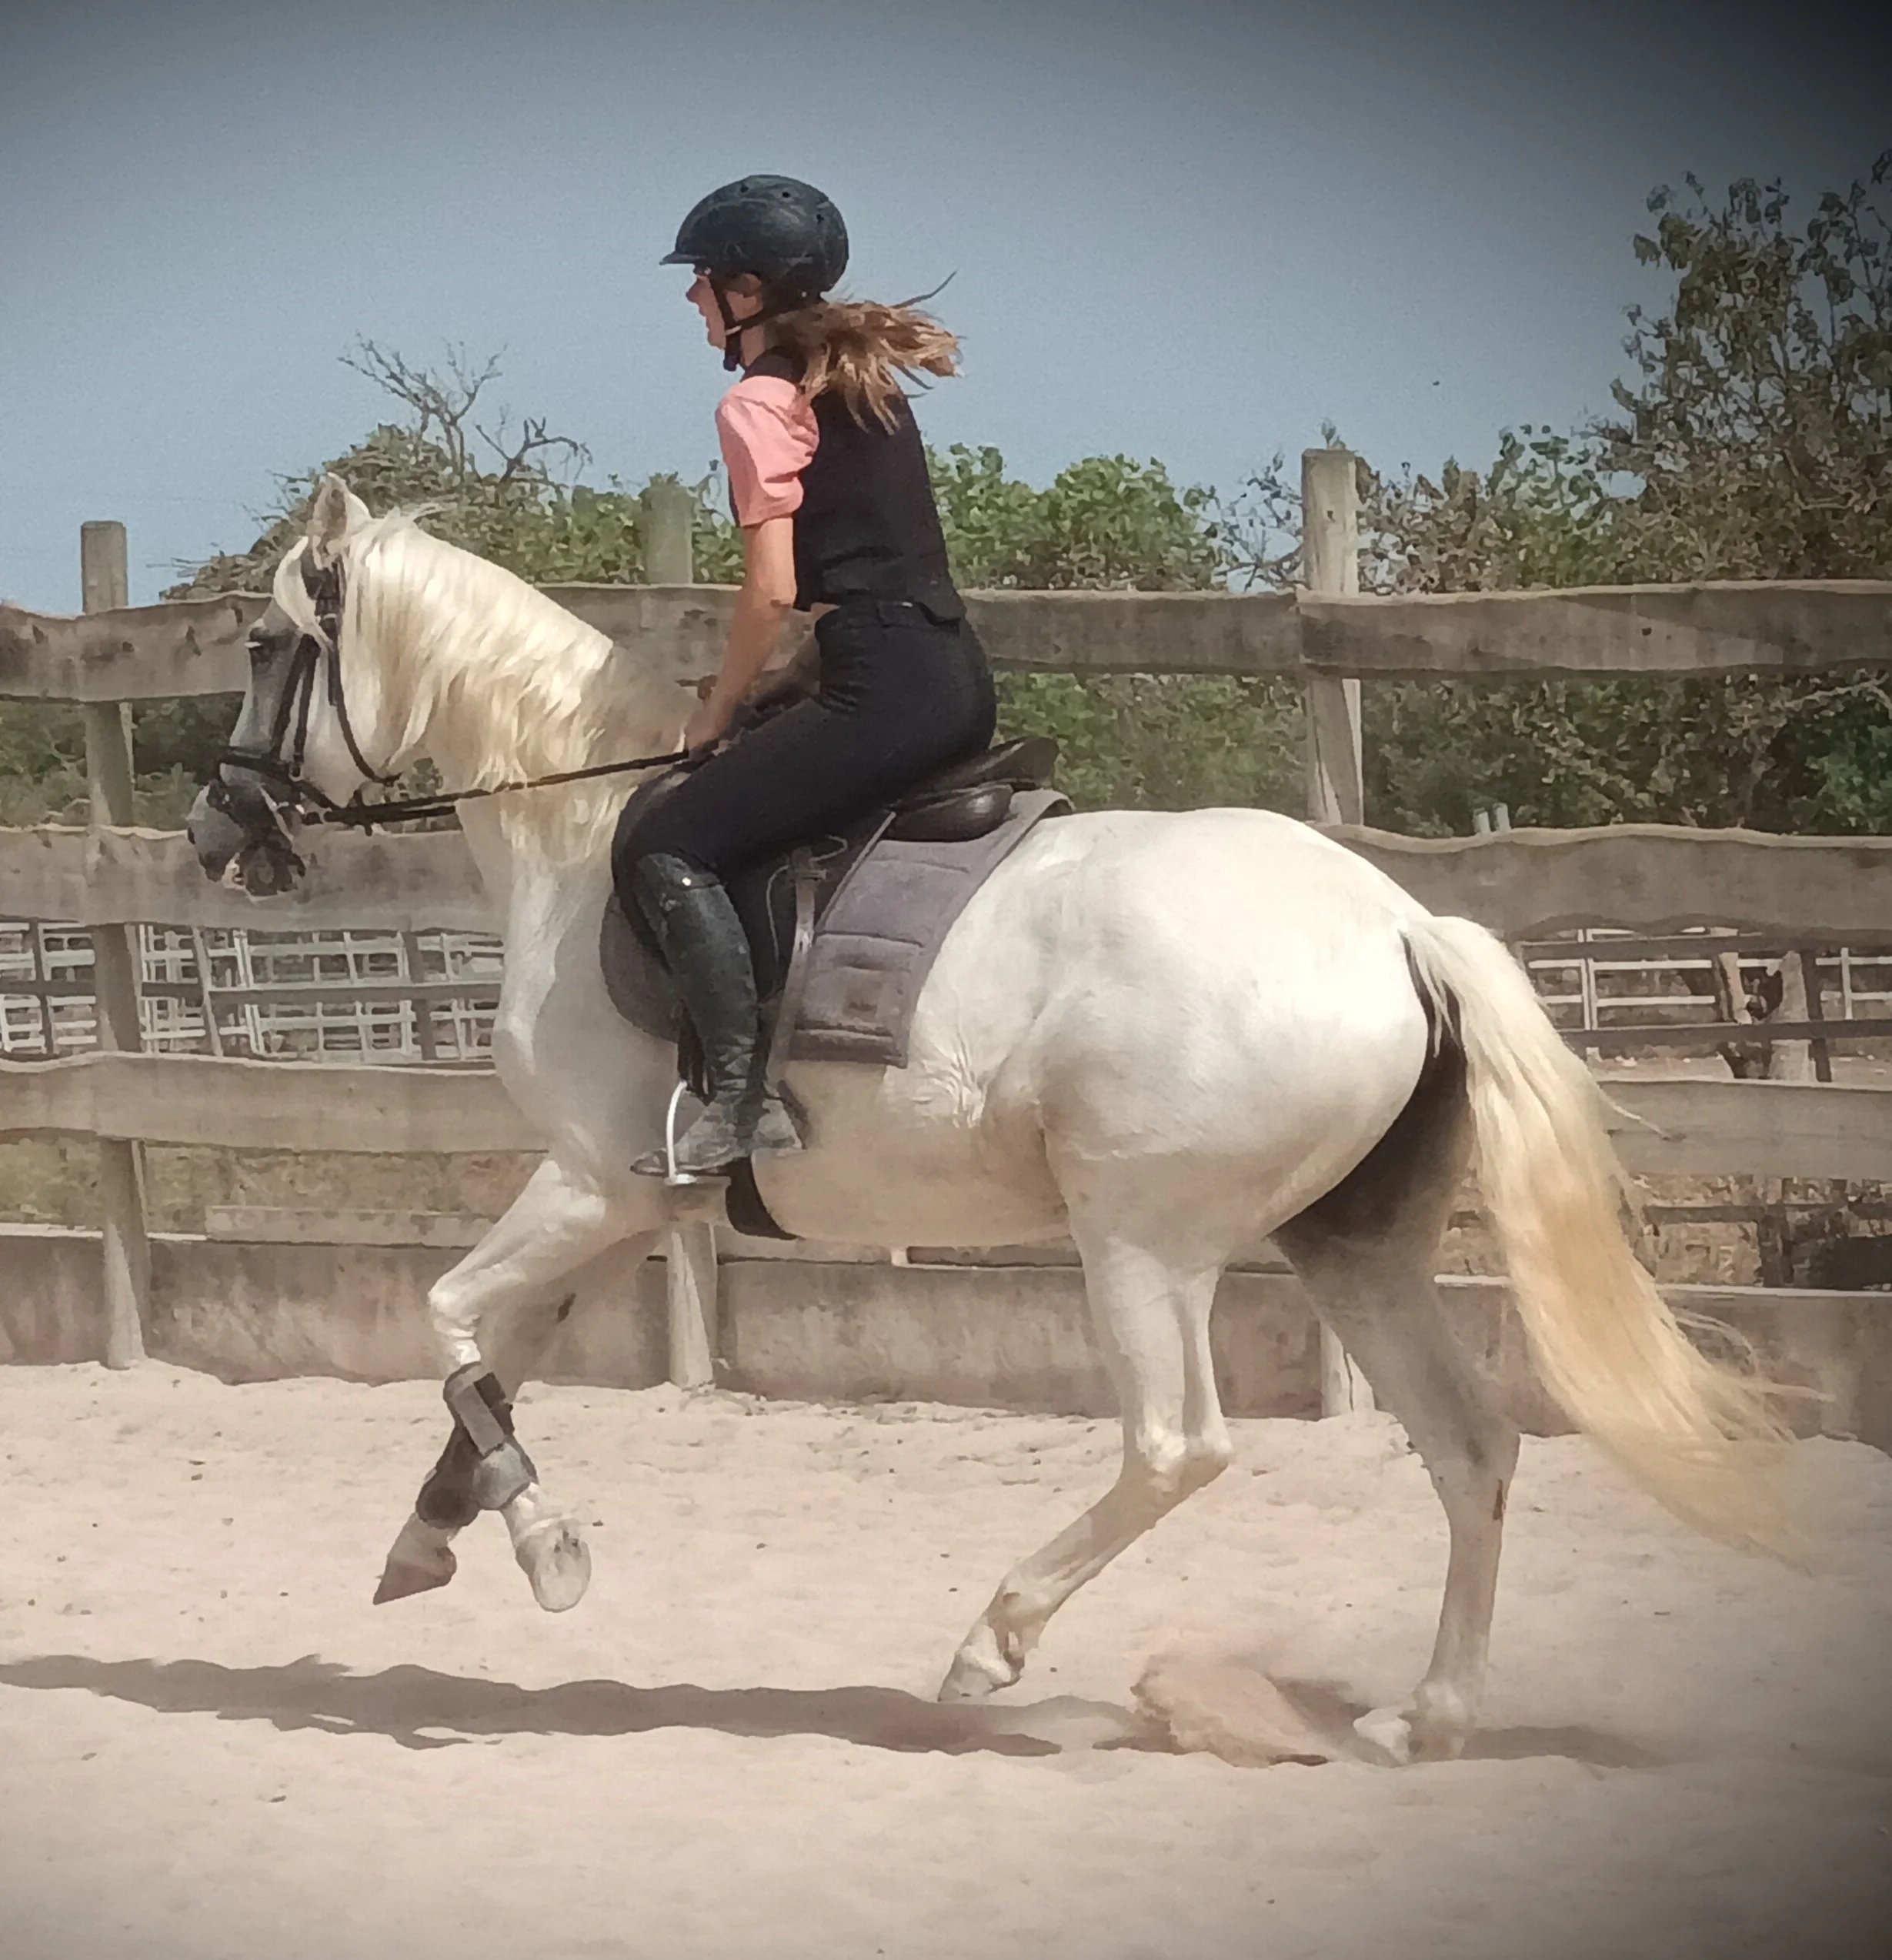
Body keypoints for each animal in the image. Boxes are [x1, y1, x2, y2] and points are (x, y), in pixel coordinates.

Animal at [185, 474, 1791, 1764]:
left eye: (267, 645)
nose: (215, 832)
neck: (582, 841)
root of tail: (1399, 924)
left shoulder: (596, 1182)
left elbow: (447, 1319)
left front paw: (544, 1546)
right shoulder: (619, 1204)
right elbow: (493, 1365)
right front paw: (427, 1538)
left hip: (1140, 1239)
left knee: (1177, 1447)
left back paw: (986, 1647)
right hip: (1351, 1245)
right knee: (1471, 1448)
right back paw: (1420, 1718)